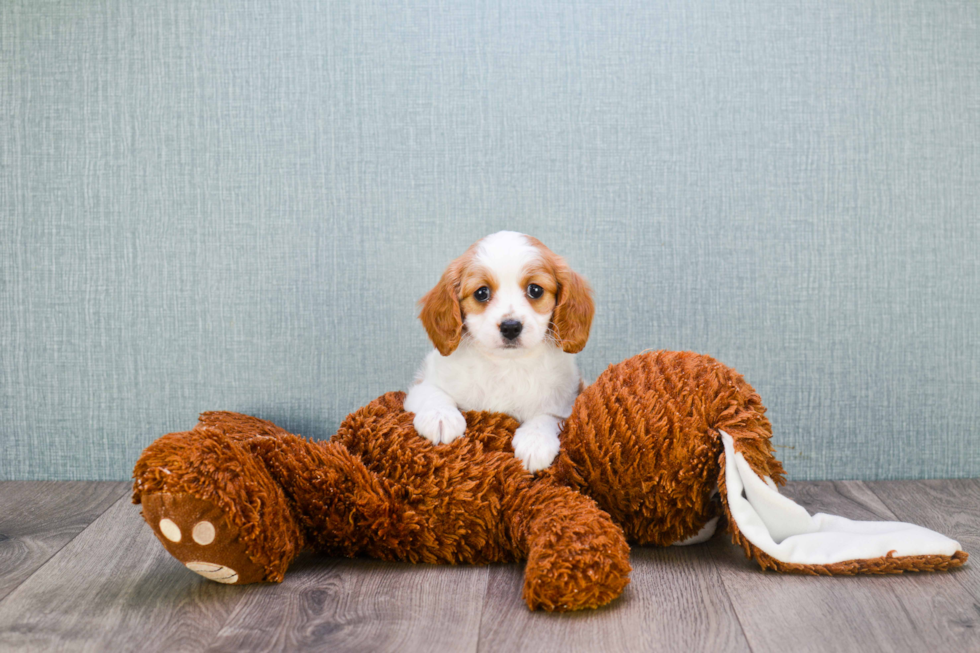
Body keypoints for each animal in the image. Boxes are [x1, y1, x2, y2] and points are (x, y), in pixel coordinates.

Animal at [402, 232, 592, 472]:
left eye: (535, 290)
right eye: (481, 293)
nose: (510, 326)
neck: (506, 365)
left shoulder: (566, 402)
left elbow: (547, 416)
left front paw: (535, 441)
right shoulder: (423, 383)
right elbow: (433, 393)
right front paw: (440, 417)